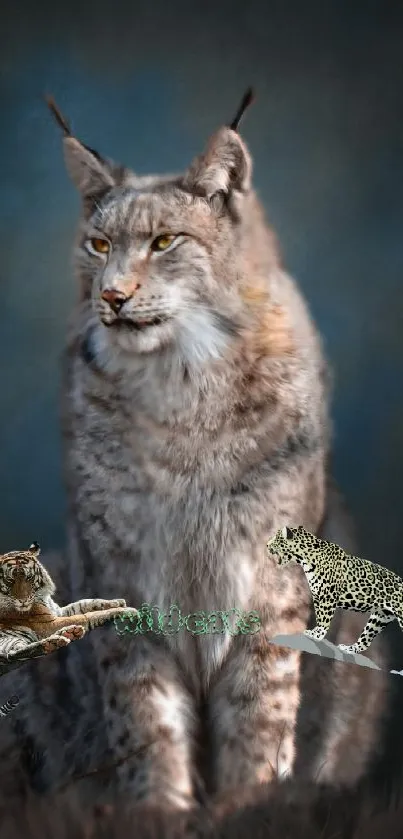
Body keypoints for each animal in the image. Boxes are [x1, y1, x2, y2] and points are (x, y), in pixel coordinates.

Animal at [268, 524, 403, 656]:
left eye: (276, 538)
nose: (267, 545)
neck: (306, 559)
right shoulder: (318, 597)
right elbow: (319, 616)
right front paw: (316, 631)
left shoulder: (328, 597)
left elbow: (324, 619)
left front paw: (318, 634)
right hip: (380, 617)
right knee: (365, 641)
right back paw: (349, 649)